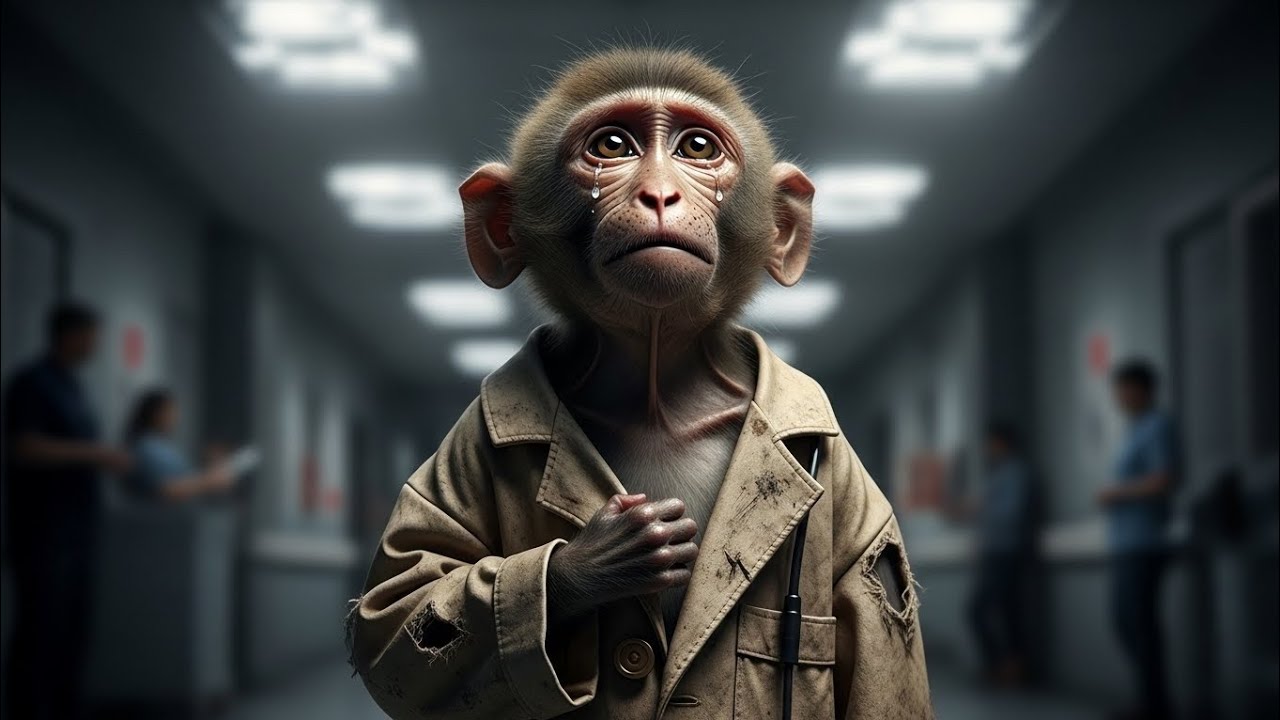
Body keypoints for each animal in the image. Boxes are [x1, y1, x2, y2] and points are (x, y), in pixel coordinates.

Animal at [349, 47, 933, 720]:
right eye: (612, 145)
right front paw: (600, 560)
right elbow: (400, 613)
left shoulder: (857, 495)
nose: (659, 193)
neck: (657, 392)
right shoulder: (466, 440)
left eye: (698, 146)